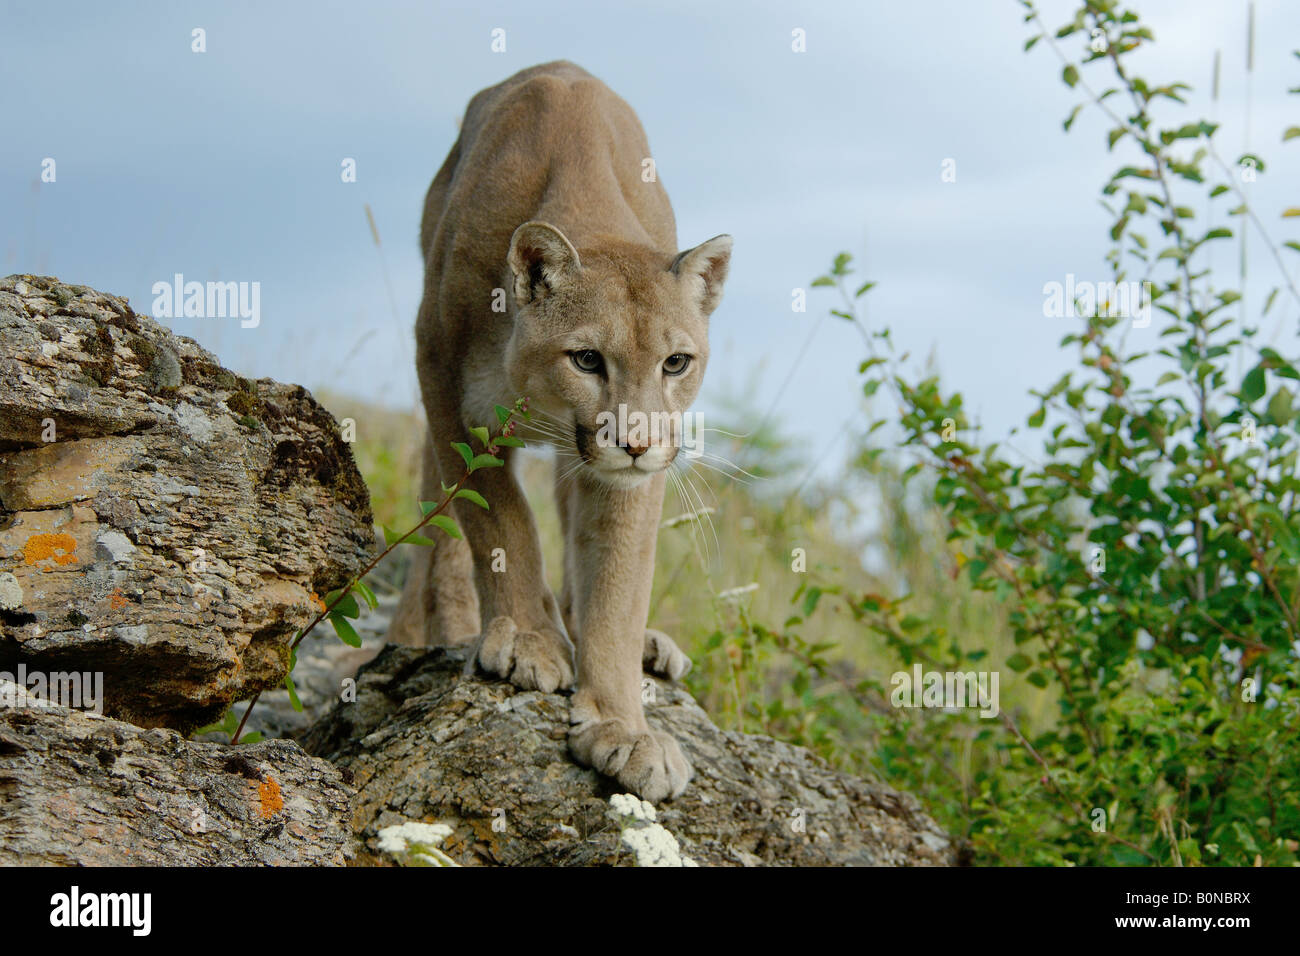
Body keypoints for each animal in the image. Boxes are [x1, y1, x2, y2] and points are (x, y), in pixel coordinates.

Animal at [384, 61, 733, 806]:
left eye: (676, 363)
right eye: (587, 359)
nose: (635, 441)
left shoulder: (634, 477)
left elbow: (618, 583)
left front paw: (623, 726)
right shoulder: (445, 383)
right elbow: (499, 524)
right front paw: (529, 641)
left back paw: (644, 646)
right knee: (441, 523)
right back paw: (444, 624)